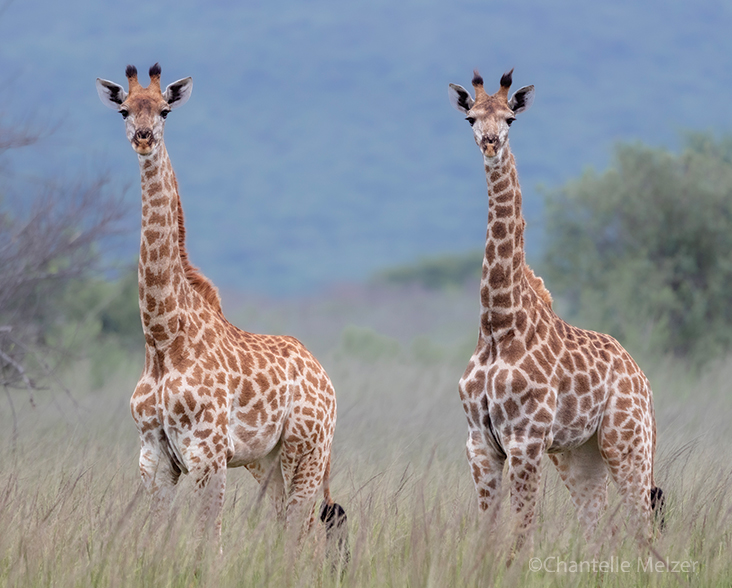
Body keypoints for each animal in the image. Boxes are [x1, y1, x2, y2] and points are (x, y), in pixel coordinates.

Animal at [96, 64, 348, 548]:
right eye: (123, 110)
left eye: (165, 110)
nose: (143, 138)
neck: (162, 340)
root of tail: (326, 379)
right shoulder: (153, 457)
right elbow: (159, 537)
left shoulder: (208, 453)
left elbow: (206, 540)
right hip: (267, 462)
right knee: (290, 525)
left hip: (307, 450)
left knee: (301, 531)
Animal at [446, 70, 664, 552]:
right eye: (471, 117)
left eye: (510, 118)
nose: (490, 142)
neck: (498, 325)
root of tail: (641, 377)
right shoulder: (480, 445)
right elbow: (486, 536)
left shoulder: (525, 440)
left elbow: (522, 535)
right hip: (580, 455)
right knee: (599, 530)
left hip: (627, 444)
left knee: (643, 530)